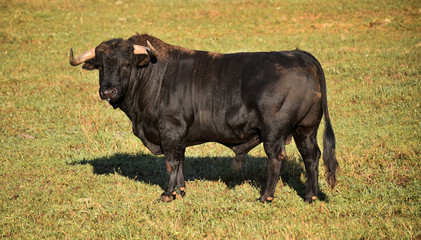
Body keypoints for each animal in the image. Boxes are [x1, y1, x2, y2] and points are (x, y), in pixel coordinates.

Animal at [69, 33, 338, 202]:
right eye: (101, 65)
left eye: (126, 63)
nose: (108, 91)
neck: (152, 77)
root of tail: (300, 55)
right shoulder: (177, 138)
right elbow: (180, 163)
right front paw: (180, 190)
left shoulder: (169, 131)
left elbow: (171, 163)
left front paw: (167, 194)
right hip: (305, 129)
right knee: (311, 156)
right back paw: (310, 196)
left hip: (274, 131)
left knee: (276, 158)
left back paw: (265, 196)